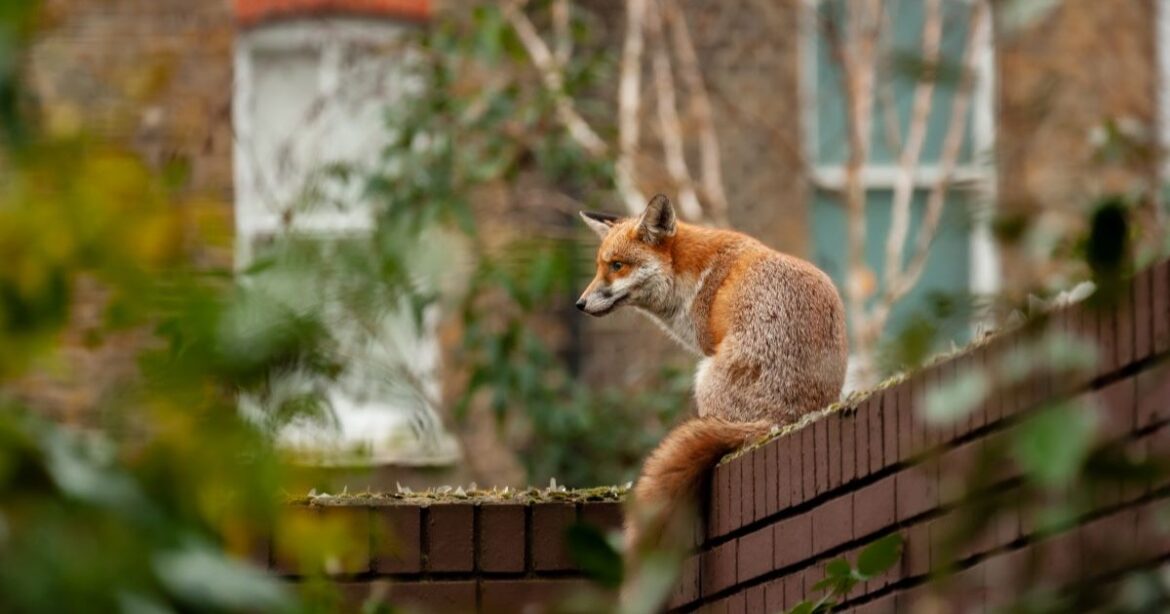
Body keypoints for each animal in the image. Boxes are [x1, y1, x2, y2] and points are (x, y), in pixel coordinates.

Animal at [577, 194, 848, 561]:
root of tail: (783, 420)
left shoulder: (707, 346)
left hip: (702, 379)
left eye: (617, 266)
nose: (579, 304)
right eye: (598, 267)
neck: (694, 276)